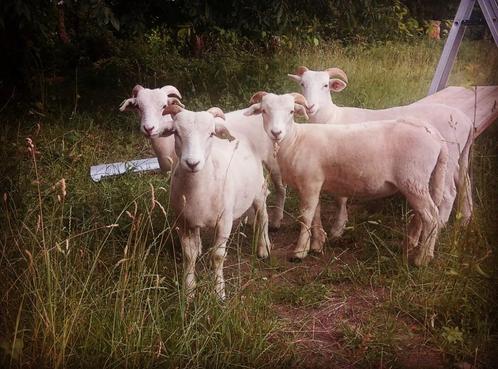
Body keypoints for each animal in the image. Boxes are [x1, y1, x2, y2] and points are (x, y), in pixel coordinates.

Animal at [118, 86, 286, 230]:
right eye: (138, 107)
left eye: (164, 106)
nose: (149, 128)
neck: (167, 145)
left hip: (274, 160)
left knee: (280, 189)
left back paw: (276, 221)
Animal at [158, 104, 270, 300]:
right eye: (176, 132)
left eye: (210, 133)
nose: (192, 163)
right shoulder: (182, 222)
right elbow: (189, 255)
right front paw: (189, 291)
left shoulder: (224, 222)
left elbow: (218, 256)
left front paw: (219, 292)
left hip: (258, 191)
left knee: (263, 216)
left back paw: (263, 248)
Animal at [244, 91, 448, 264]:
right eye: (264, 111)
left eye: (291, 111)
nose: (276, 133)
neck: (295, 140)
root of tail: (436, 136)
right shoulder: (315, 183)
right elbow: (316, 212)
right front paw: (317, 244)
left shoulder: (310, 182)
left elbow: (306, 215)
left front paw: (300, 251)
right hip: (422, 181)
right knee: (424, 215)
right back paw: (412, 245)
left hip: (413, 179)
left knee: (432, 217)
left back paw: (422, 259)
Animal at [288, 65, 474, 236]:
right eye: (302, 84)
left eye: (325, 85)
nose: (310, 106)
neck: (332, 117)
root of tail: (466, 121)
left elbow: (340, 198)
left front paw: (337, 228)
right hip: (457, 156)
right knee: (464, 181)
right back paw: (465, 220)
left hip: (447, 159)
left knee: (449, 194)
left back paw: (441, 226)